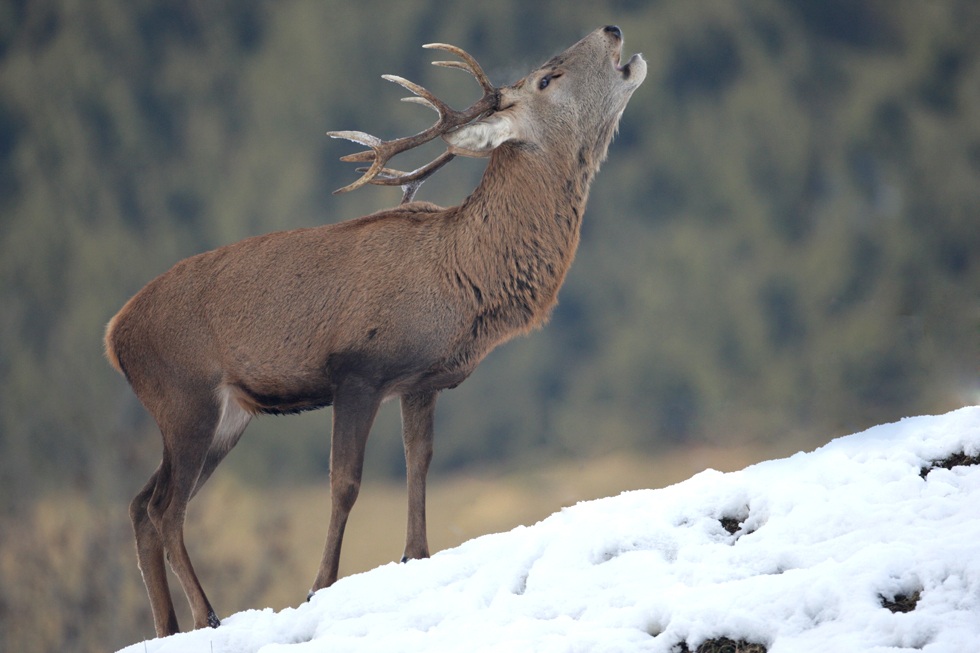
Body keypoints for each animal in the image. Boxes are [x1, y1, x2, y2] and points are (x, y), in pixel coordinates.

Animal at [105, 25, 646, 637]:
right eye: (546, 78)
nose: (611, 30)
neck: (459, 278)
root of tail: (113, 335)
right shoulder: (356, 371)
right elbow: (345, 482)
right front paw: (320, 585)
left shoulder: (420, 381)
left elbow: (419, 461)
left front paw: (416, 554)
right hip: (184, 396)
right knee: (165, 508)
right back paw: (207, 614)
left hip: (224, 415)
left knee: (141, 503)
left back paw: (168, 627)